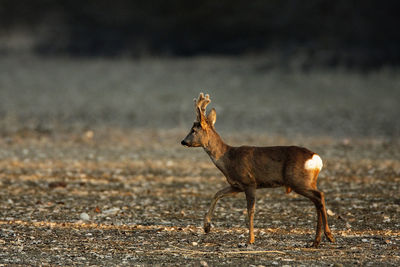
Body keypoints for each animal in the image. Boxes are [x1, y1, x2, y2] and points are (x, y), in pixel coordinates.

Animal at [181, 93, 334, 248]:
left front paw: (250, 239)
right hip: (307, 181)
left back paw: (328, 236)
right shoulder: (236, 185)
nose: (183, 141)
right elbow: (217, 194)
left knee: (320, 196)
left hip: (298, 180)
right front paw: (206, 227)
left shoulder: (249, 182)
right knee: (317, 200)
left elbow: (250, 210)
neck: (228, 158)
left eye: (193, 130)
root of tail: (316, 158)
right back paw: (316, 241)